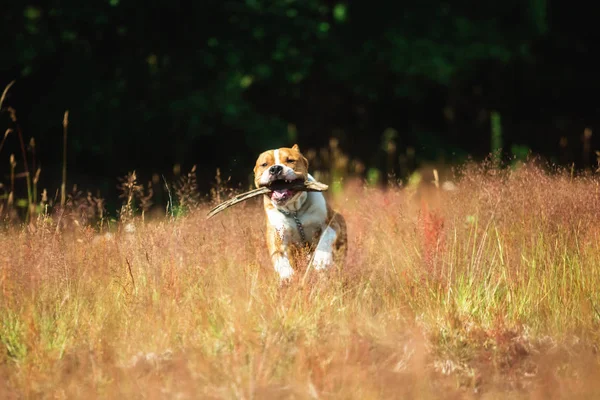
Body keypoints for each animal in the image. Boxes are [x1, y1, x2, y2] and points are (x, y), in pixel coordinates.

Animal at [253, 145, 346, 282]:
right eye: (264, 164)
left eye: (290, 160)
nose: (275, 169)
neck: (295, 211)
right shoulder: (277, 233)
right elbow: (279, 255)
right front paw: (286, 274)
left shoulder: (331, 223)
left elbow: (324, 240)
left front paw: (321, 260)